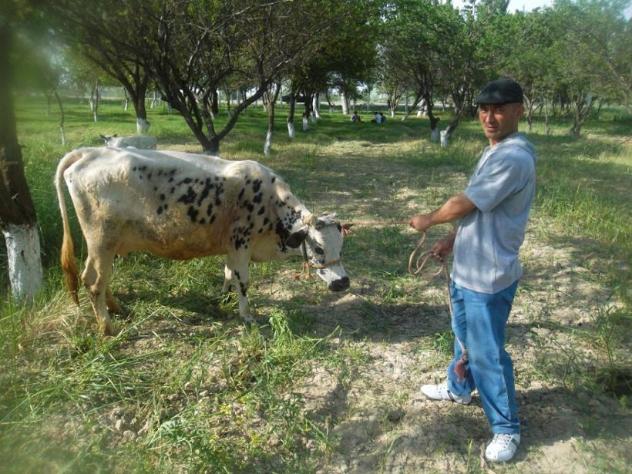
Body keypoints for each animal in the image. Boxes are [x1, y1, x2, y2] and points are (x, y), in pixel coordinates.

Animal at [55, 147, 350, 335]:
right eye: (318, 247)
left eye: (341, 246)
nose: (343, 283)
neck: (271, 202)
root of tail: (90, 152)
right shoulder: (241, 242)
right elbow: (244, 282)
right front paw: (246, 315)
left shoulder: (232, 246)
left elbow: (228, 273)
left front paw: (224, 298)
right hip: (101, 240)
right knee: (94, 281)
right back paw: (107, 328)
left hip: (109, 245)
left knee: (102, 279)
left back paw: (118, 309)